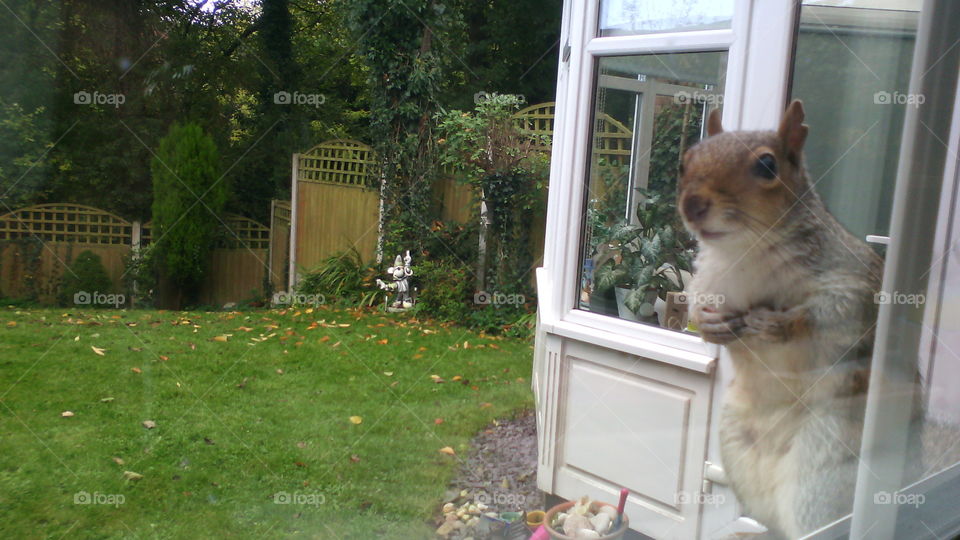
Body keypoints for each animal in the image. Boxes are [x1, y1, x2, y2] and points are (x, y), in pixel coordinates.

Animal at [677, 100, 933, 538]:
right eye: (686, 161)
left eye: (767, 165)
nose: (692, 204)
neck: (745, 249)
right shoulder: (709, 280)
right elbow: (696, 305)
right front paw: (711, 325)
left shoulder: (851, 281)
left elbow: (835, 313)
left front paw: (780, 324)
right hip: (736, 443)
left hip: (823, 457)